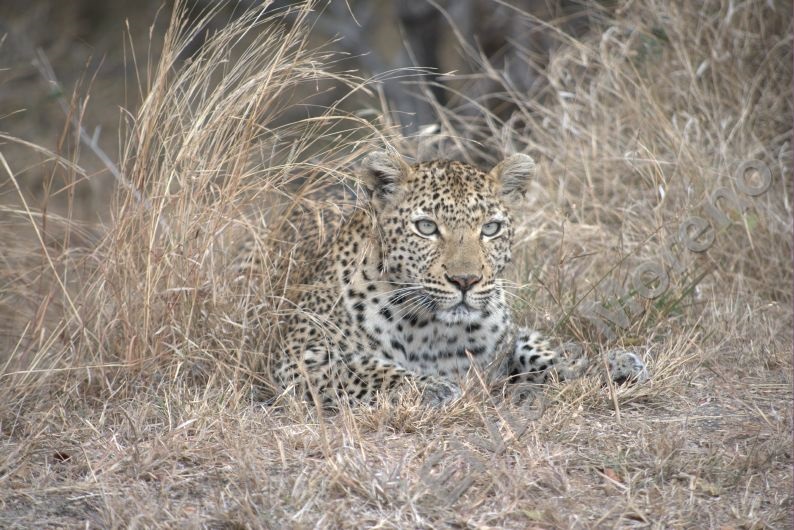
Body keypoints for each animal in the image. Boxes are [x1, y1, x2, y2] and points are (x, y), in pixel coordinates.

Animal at [262, 151, 648, 406]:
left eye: (490, 229)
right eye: (426, 227)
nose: (465, 280)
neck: (428, 327)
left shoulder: (508, 340)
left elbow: (540, 352)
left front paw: (605, 364)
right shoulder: (299, 357)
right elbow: (363, 369)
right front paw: (432, 388)